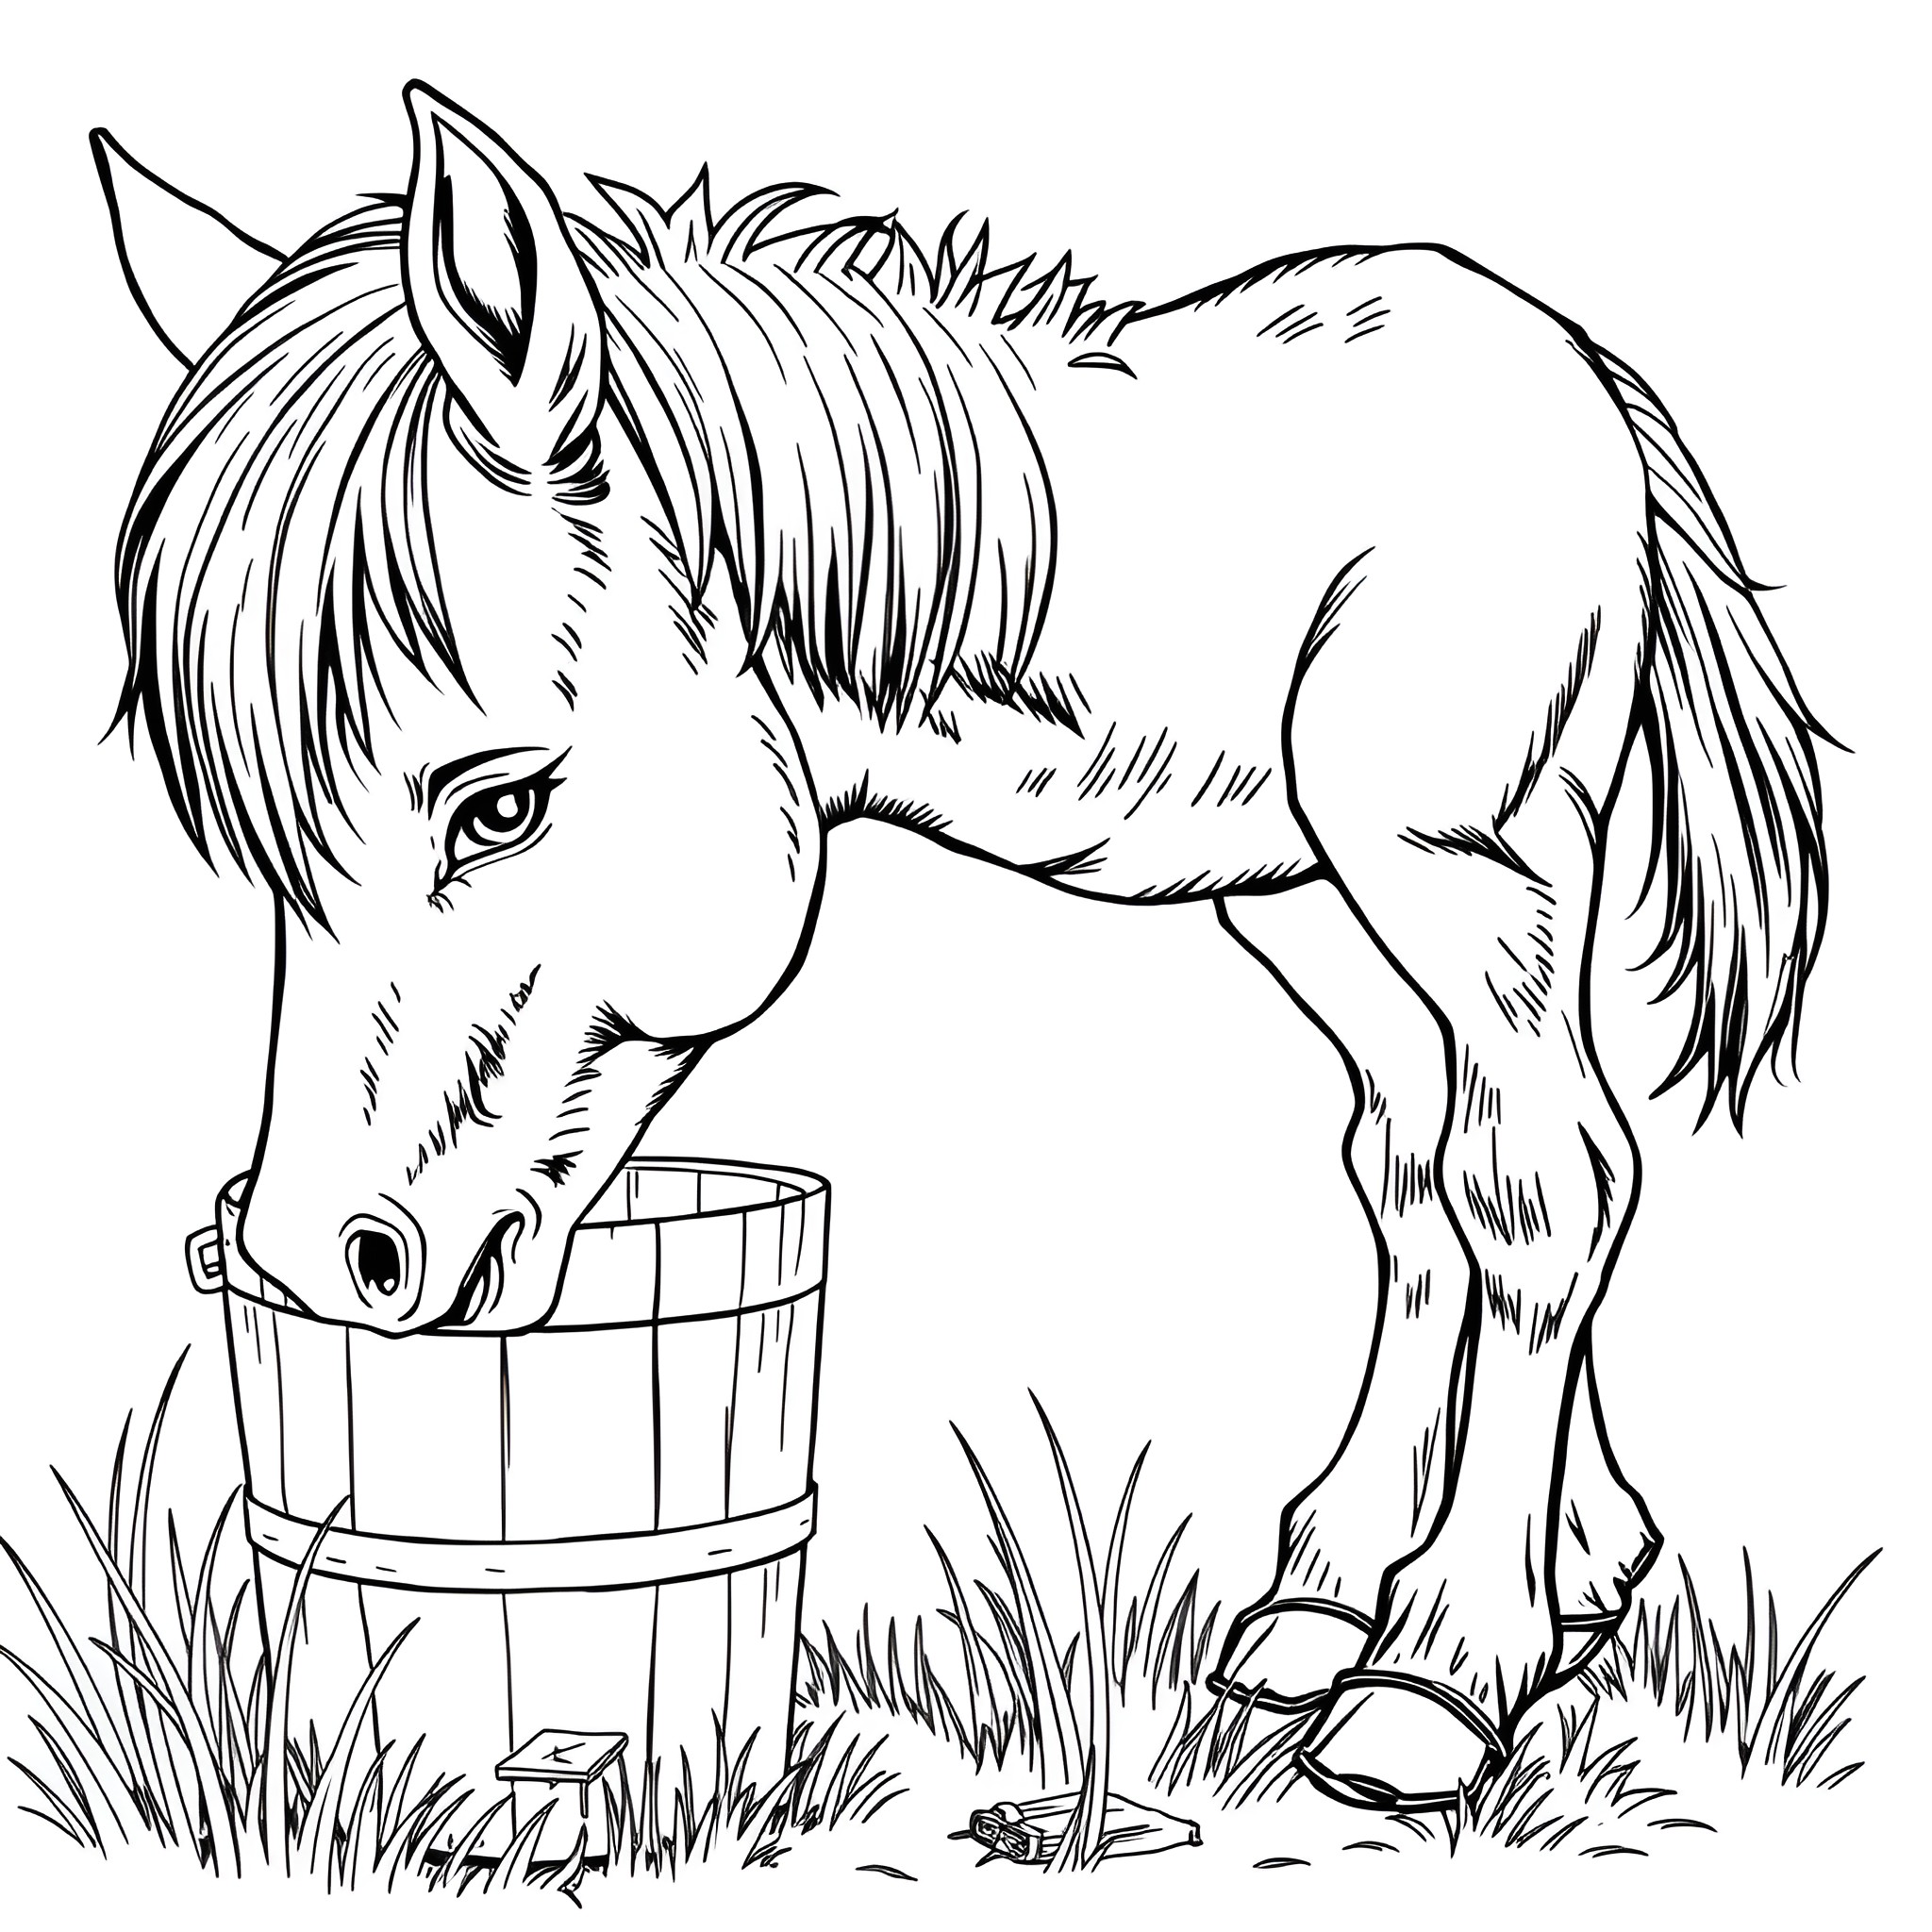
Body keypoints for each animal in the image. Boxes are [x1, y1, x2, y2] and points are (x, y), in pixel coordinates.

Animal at [93, 83, 1828, 1812]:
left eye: (500, 806)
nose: (313, 1263)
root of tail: (1556, 349)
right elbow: (1465, 1185)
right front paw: (1508, 1601)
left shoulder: (1469, 874)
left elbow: (1538, 1192)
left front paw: (1453, 1673)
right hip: (1315, 904)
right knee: (1420, 1166)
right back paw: (1374, 1592)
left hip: (1464, 872)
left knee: (1541, 1168)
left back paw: (1449, 1636)